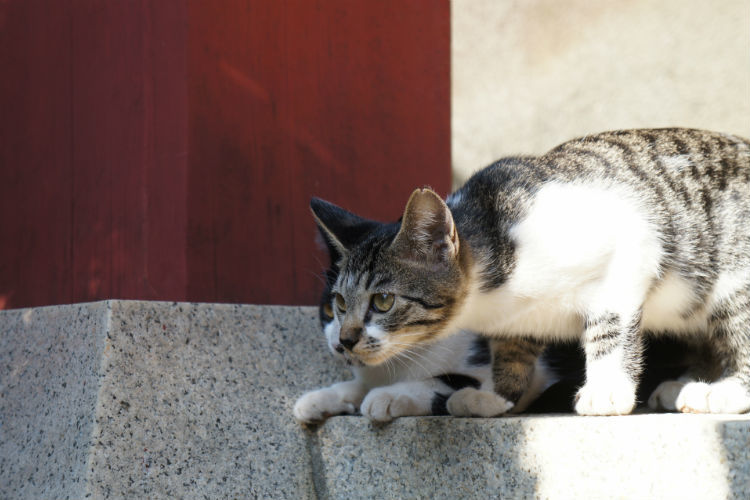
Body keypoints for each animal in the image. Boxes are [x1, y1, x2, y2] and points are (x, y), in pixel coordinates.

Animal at [310, 127, 750, 416]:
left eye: (383, 301)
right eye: (338, 304)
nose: (345, 340)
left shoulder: (628, 253)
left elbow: (609, 329)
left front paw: (606, 391)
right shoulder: (513, 320)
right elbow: (511, 352)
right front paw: (496, 396)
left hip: (734, 278)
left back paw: (722, 393)